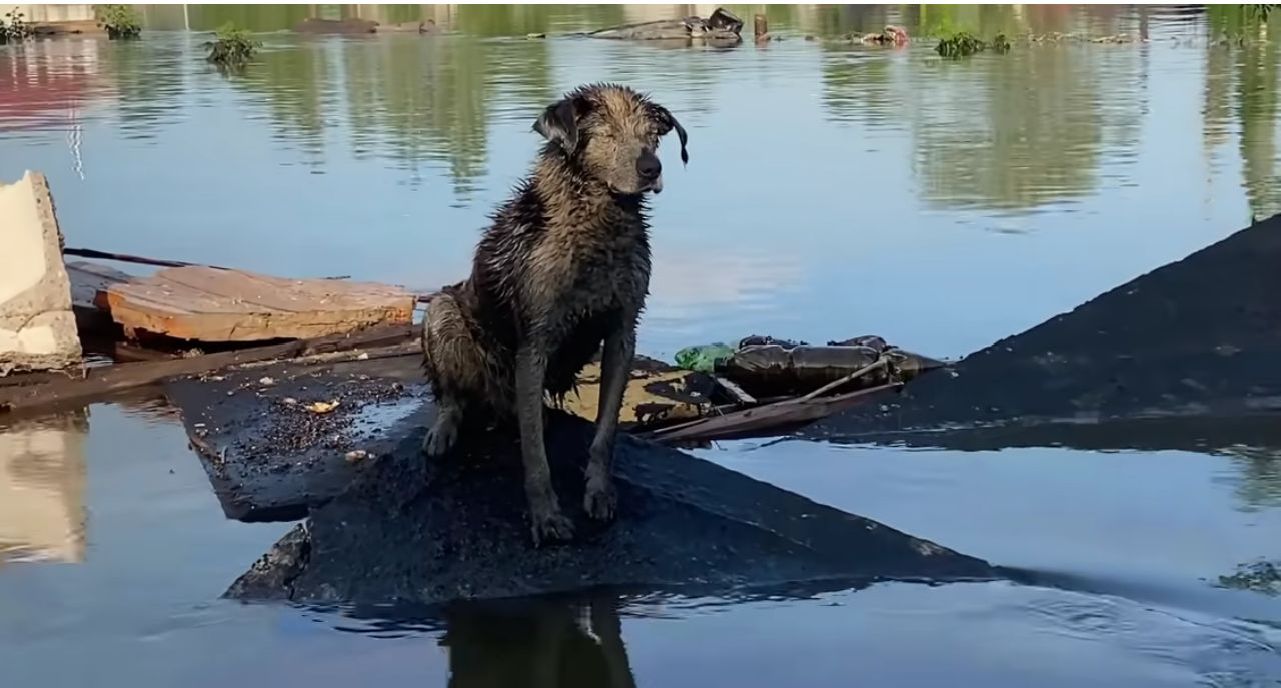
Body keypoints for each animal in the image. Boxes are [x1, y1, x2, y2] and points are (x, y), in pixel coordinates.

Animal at [417, 83, 691, 545]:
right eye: (605, 134)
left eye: (652, 136)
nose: (651, 168)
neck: (599, 226)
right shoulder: (534, 344)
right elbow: (535, 457)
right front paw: (545, 517)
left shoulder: (623, 332)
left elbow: (605, 435)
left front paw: (599, 493)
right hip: (442, 313)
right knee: (452, 397)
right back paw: (443, 431)